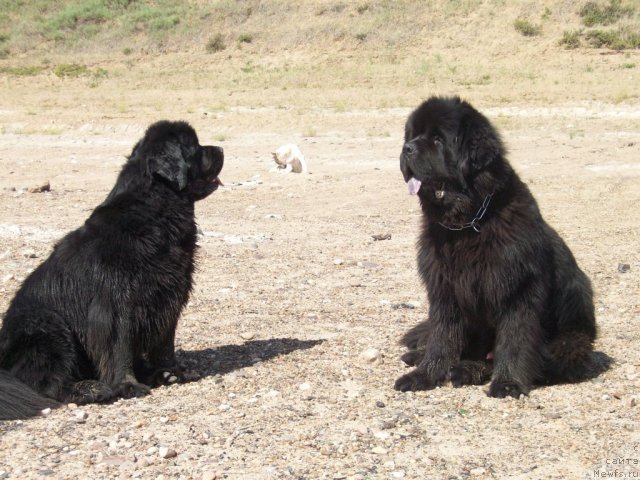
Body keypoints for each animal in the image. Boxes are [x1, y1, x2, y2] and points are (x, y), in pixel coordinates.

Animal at [0, 121, 225, 420]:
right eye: (195, 148)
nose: (221, 149)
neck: (155, 213)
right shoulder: (116, 305)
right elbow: (119, 348)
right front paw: (128, 386)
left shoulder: (169, 295)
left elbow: (165, 341)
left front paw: (171, 372)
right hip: (47, 327)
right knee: (46, 382)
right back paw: (90, 389)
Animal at [396, 96, 604, 398]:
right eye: (412, 135)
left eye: (437, 139)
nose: (406, 149)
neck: (469, 223)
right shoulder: (446, 291)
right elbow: (442, 338)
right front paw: (423, 375)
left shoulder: (517, 290)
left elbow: (514, 340)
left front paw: (508, 383)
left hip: (571, 342)